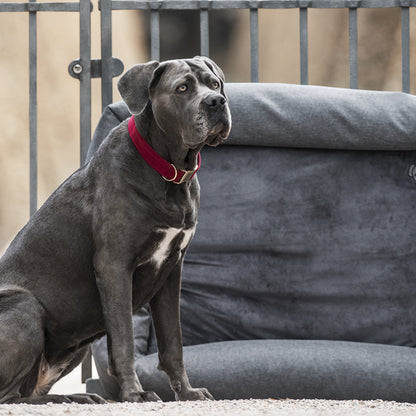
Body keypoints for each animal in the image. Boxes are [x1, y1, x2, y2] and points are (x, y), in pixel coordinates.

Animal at [0, 56, 231, 404]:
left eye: (214, 83)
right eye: (182, 88)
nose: (216, 101)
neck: (169, 172)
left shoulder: (172, 270)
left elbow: (173, 342)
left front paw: (188, 392)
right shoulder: (114, 266)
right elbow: (123, 340)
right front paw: (135, 394)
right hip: (26, 306)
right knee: (12, 395)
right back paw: (72, 398)